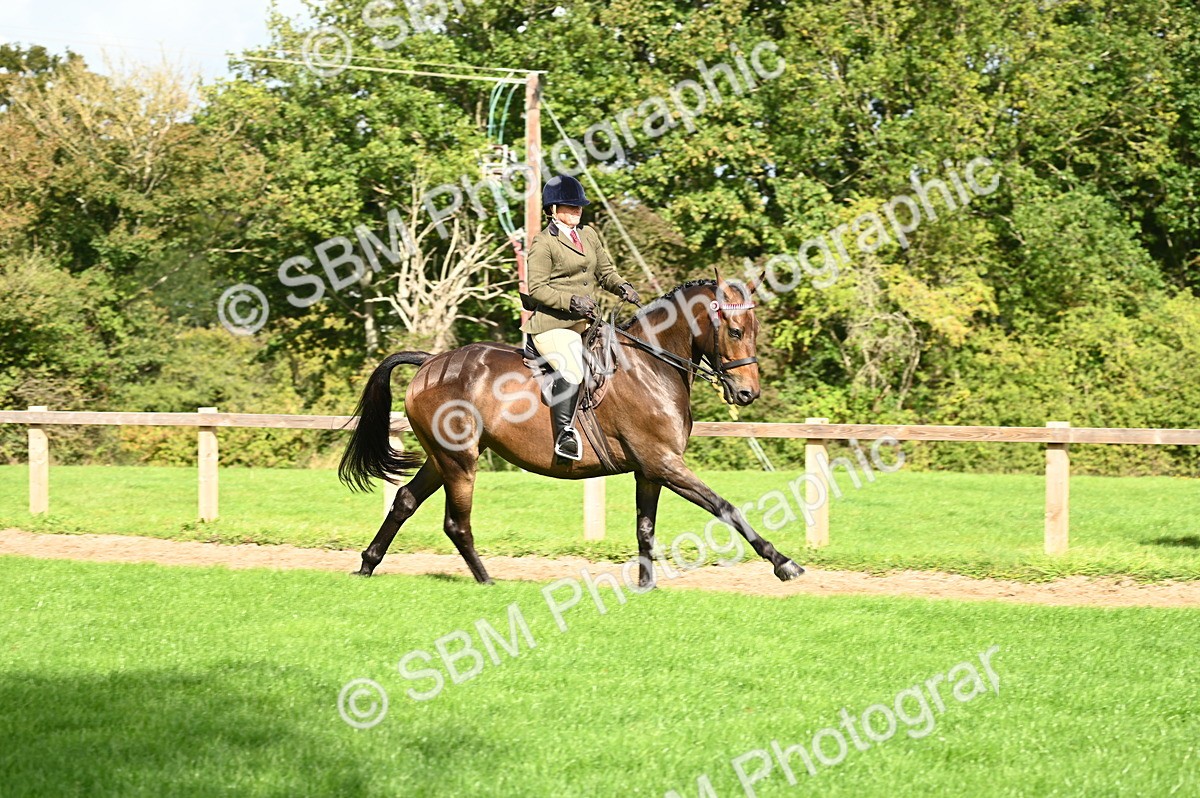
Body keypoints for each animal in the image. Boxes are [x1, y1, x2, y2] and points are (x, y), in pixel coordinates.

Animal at [338, 271, 805, 588]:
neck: (653, 364)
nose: (747, 393)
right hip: (459, 460)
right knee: (456, 522)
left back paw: (366, 565)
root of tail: (431, 362)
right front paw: (784, 563)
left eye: (754, 330)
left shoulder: (650, 470)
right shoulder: (665, 463)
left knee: (404, 501)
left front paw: (646, 585)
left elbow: (645, 527)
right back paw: (487, 580)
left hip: (442, 458)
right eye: (736, 330)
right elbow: (726, 508)